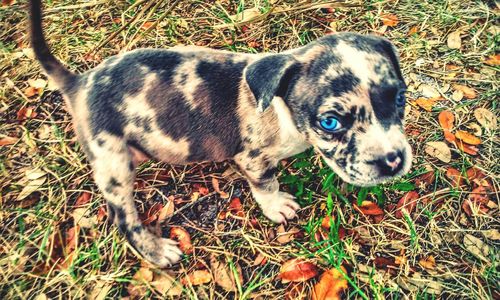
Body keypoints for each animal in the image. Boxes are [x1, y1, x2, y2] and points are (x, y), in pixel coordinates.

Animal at [30, 0, 410, 268]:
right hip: (113, 162)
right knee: (123, 218)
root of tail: (80, 83)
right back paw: (157, 251)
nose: (393, 161)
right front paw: (277, 206)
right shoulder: (253, 158)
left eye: (400, 99)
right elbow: (266, 184)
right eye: (330, 122)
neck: (281, 107)